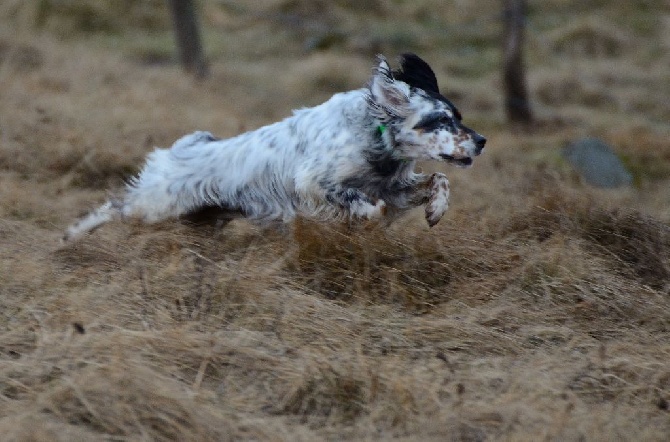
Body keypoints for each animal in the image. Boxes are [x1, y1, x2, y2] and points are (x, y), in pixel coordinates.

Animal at [64, 54, 488, 242]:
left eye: (458, 116)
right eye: (440, 120)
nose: (482, 141)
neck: (375, 133)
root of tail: (178, 150)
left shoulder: (394, 185)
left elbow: (438, 179)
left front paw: (436, 209)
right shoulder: (314, 182)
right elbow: (367, 205)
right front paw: (364, 222)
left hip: (200, 218)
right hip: (156, 205)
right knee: (114, 206)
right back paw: (71, 235)